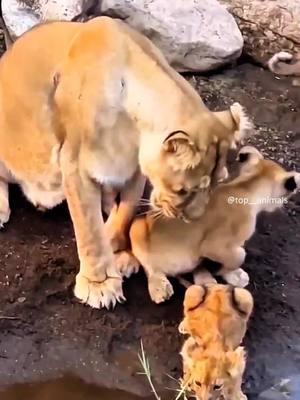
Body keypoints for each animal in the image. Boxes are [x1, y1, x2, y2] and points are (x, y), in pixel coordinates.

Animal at [0, 14, 253, 310]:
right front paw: (99, 284)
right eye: (183, 190)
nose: (193, 219)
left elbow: (126, 212)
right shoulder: (74, 164)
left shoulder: (133, 169)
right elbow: (90, 232)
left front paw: (120, 253)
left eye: (216, 184)